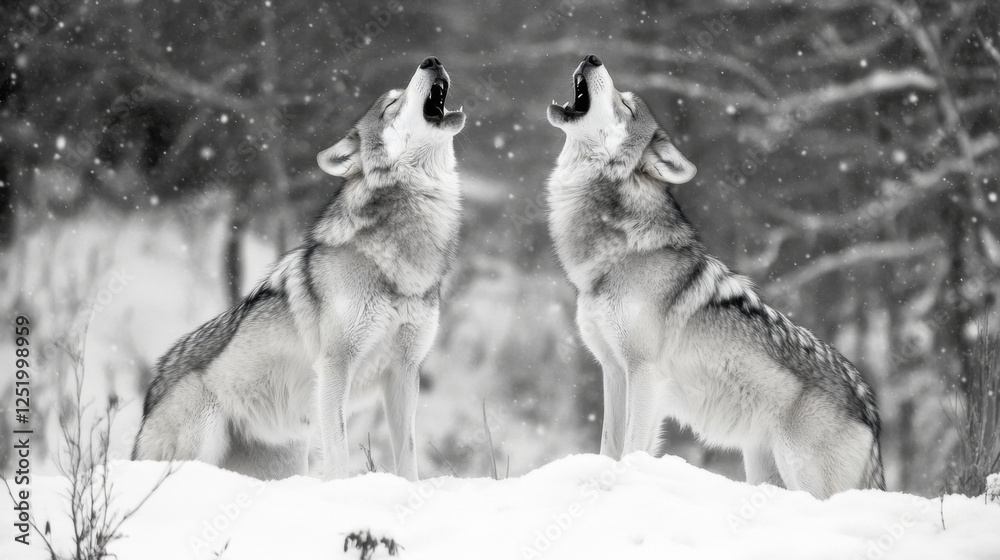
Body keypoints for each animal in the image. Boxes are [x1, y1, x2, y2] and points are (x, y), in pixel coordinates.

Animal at [133, 57, 465, 481]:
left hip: (285, 457)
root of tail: (147, 404)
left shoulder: (405, 371)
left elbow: (407, 455)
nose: (431, 60)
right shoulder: (335, 365)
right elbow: (338, 452)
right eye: (392, 104)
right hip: (204, 429)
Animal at [546, 54, 884, 498]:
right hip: (762, 467)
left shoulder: (644, 374)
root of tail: (871, 411)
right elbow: (608, 447)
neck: (620, 250)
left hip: (802, 473)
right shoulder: (613, 371)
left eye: (627, 107)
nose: (592, 57)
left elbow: (632, 449)